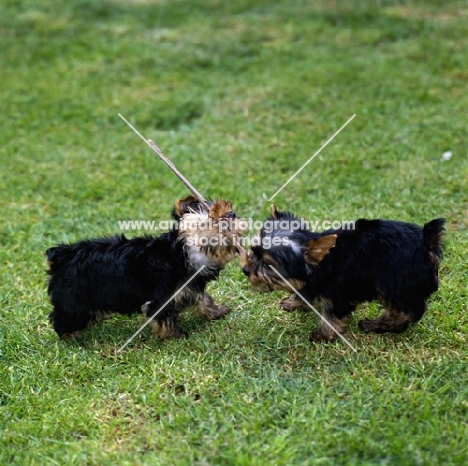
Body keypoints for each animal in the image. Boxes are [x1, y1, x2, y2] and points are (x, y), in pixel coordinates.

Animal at [46, 195, 245, 340]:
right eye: (212, 219)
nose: (232, 213)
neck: (183, 252)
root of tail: (62, 255)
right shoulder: (162, 294)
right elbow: (164, 315)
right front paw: (175, 336)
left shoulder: (190, 286)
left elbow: (203, 299)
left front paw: (216, 312)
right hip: (74, 298)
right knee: (63, 317)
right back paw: (70, 336)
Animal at [243, 207, 444, 342]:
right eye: (254, 252)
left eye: (268, 264)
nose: (246, 270)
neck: (320, 265)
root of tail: (426, 241)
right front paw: (294, 302)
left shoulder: (339, 293)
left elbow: (332, 317)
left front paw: (322, 335)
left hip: (396, 283)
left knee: (409, 310)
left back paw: (377, 325)